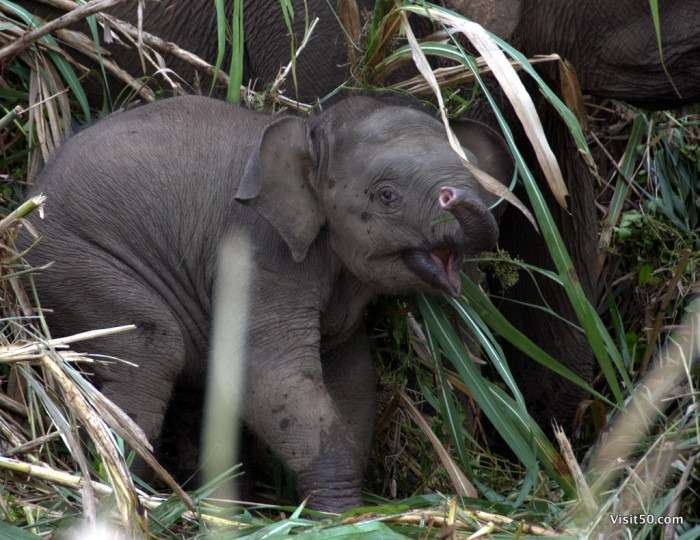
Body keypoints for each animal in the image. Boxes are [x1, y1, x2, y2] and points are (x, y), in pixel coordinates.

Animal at [22, 94, 513, 511]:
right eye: (387, 195)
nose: (455, 195)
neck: (309, 131)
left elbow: (351, 377)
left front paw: (342, 511)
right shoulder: (257, 254)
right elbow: (269, 377)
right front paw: (339, 516)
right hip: (73, 263)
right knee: (150, 350)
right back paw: (132, 496)